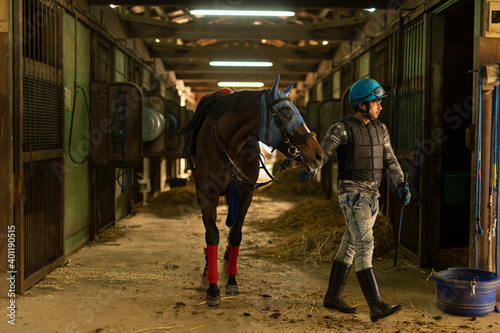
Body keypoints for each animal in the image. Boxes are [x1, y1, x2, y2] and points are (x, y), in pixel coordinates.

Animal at [180, 75, 324, 306]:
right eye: (286, 114)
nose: (318, 154)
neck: (229, 144)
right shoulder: (206, 195)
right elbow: (212, 234)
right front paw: (213, 288)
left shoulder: (246, 194)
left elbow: (236, 235)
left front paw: (231, 280)